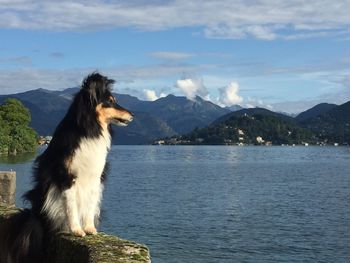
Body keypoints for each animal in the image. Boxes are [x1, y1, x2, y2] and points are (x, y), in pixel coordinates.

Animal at [0, 72, 133, 263]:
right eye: (110, 101)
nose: (132, 115)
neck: (89, 130)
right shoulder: (66, 176)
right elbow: (71, 206)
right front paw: (77, 230)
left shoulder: (95, 178)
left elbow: (90, 205)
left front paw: (89, 228)